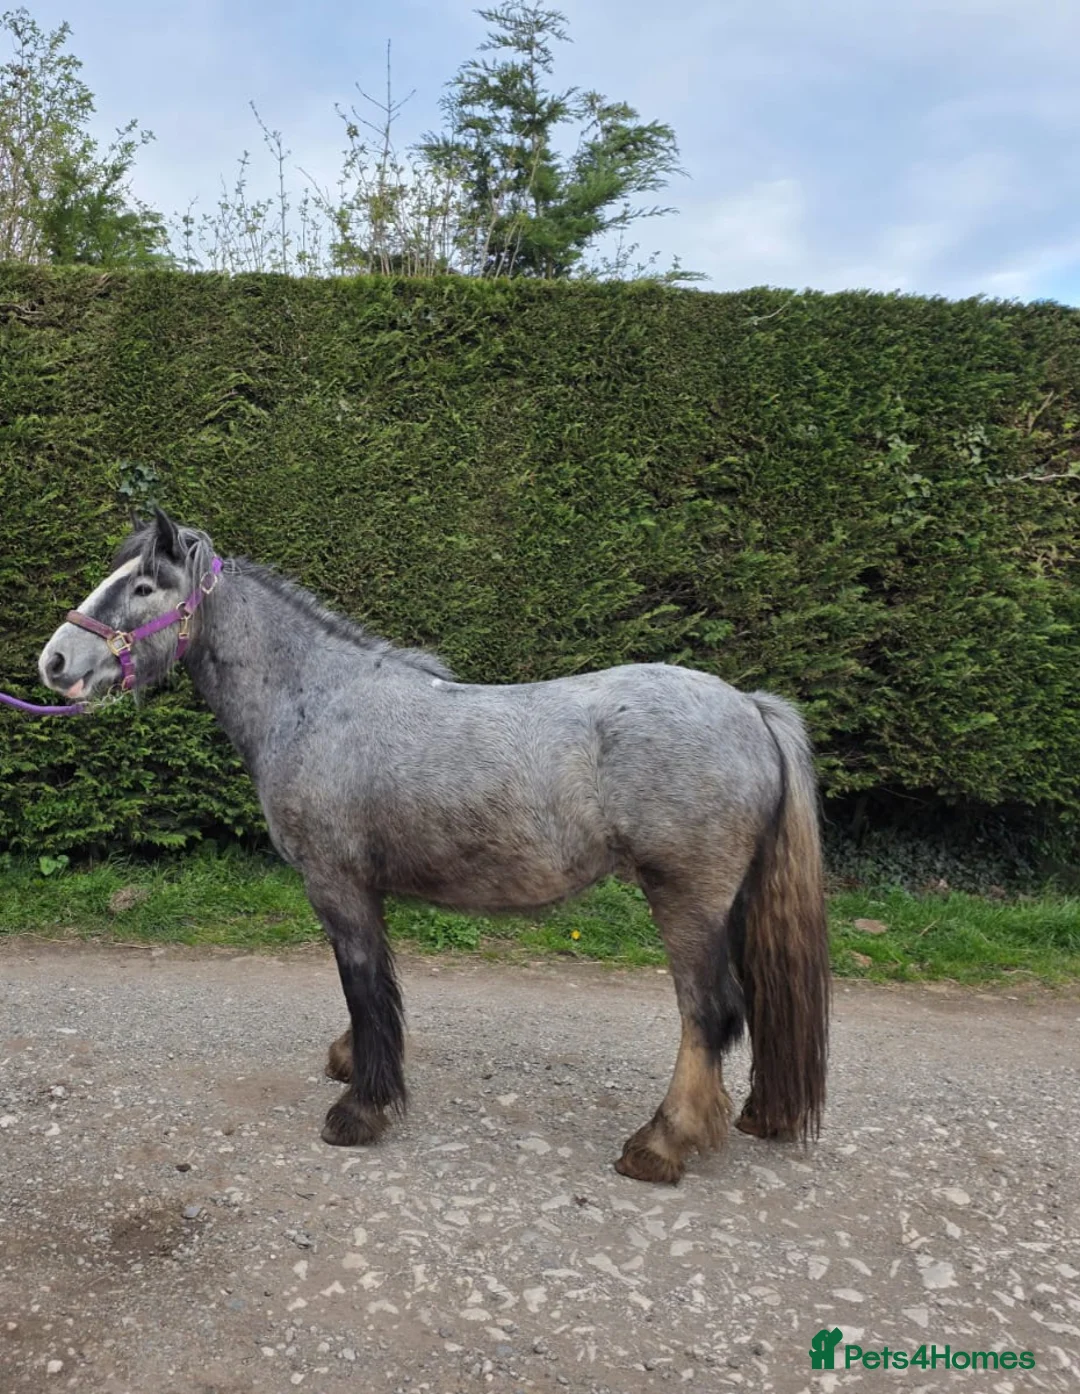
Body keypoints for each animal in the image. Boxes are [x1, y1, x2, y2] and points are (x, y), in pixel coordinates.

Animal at [38, 509, 830, 1184]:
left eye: (143, 586)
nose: (55, 661)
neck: (317, 700)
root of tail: (750, 708)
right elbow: (375, 988)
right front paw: (352, 1063)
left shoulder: (336, 883)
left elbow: (363, 983)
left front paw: (360, 1111)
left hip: (684, 898)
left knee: (709, 1012)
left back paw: (661, 1144)